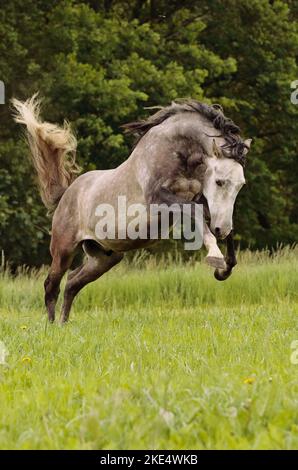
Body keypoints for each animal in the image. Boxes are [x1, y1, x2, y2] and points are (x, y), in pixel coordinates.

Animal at [13, 95, 251, 324]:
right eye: (219, 181)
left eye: (240, 185)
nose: (221, 230)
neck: (176, 149)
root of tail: (66, 194)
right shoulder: (159, 198)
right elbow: (197, 212)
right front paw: (216, 257)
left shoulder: (198, 198)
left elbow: (212, 217)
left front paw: (224, 268)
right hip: (63, 249)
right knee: (51, 285)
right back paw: (52, 326)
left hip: (104, 258)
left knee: (72, 282)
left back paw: (63, 324)